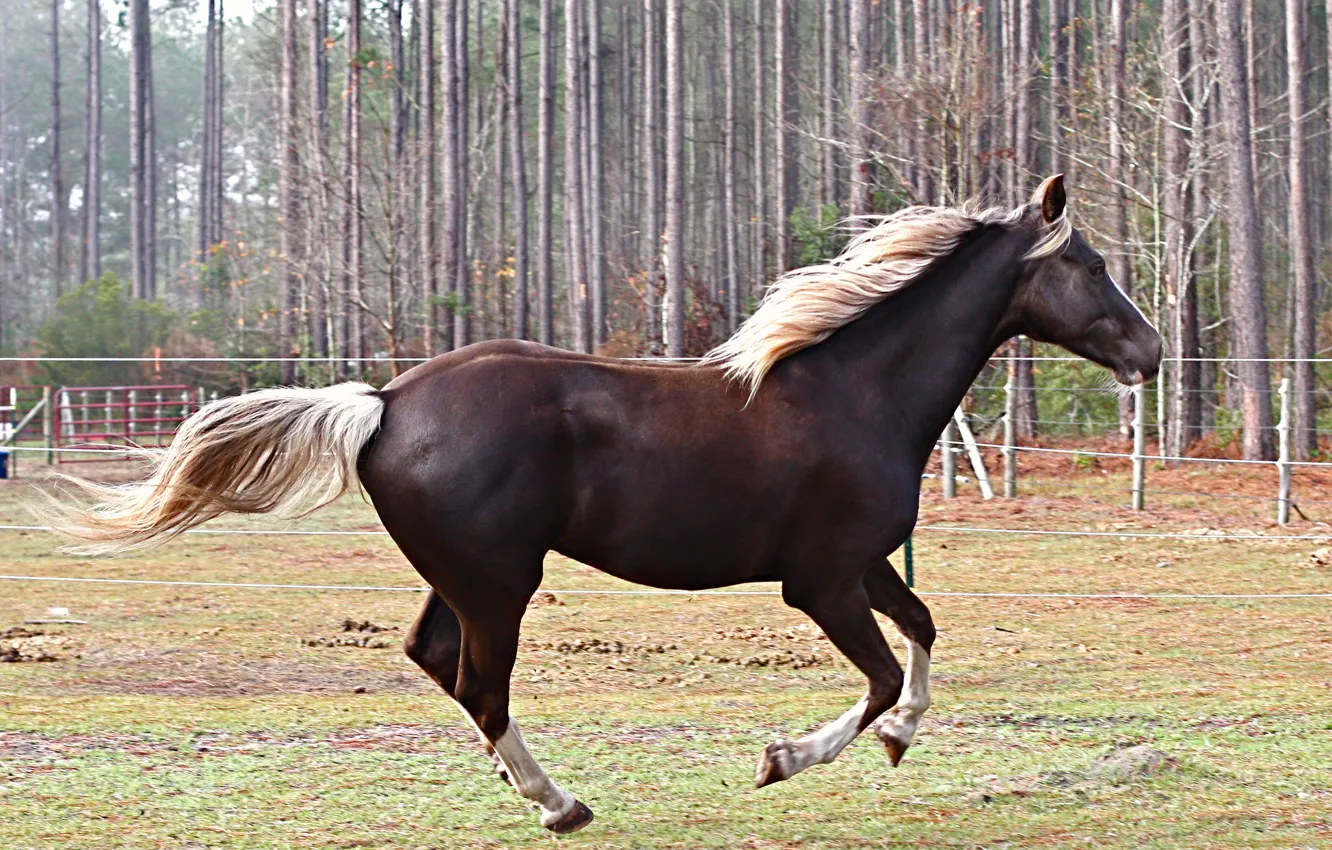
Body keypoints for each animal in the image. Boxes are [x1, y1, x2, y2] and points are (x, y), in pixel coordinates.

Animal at [50, 175, 1161, 834]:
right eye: (1090, 263)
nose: (1150, 352)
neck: (857, 390)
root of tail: (385, 401)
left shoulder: (863, 564)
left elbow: (924, 633)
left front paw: (894, 740)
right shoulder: (820, 582)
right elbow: (885, 671)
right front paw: (783, 758)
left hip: (465, 579)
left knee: (437, 661)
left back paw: (529, 789)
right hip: (501, 583)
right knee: (483, 684)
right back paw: (559, 803)